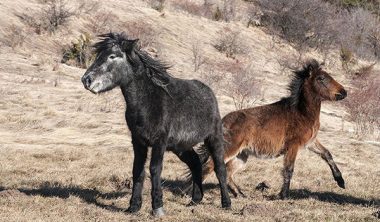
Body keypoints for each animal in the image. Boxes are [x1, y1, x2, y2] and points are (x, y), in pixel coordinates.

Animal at [194, 59, 346, 199]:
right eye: (321, 78)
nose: (344, 93)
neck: (301, 112)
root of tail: (223, 122)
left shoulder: (310, 142)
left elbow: (327, 154)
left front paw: (341, 181)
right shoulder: (293, 146)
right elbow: (288, 169)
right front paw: (283, 196)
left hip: (241, 155)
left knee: (228, 171)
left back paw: (240, 194)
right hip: (230, 149)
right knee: (210, 167)